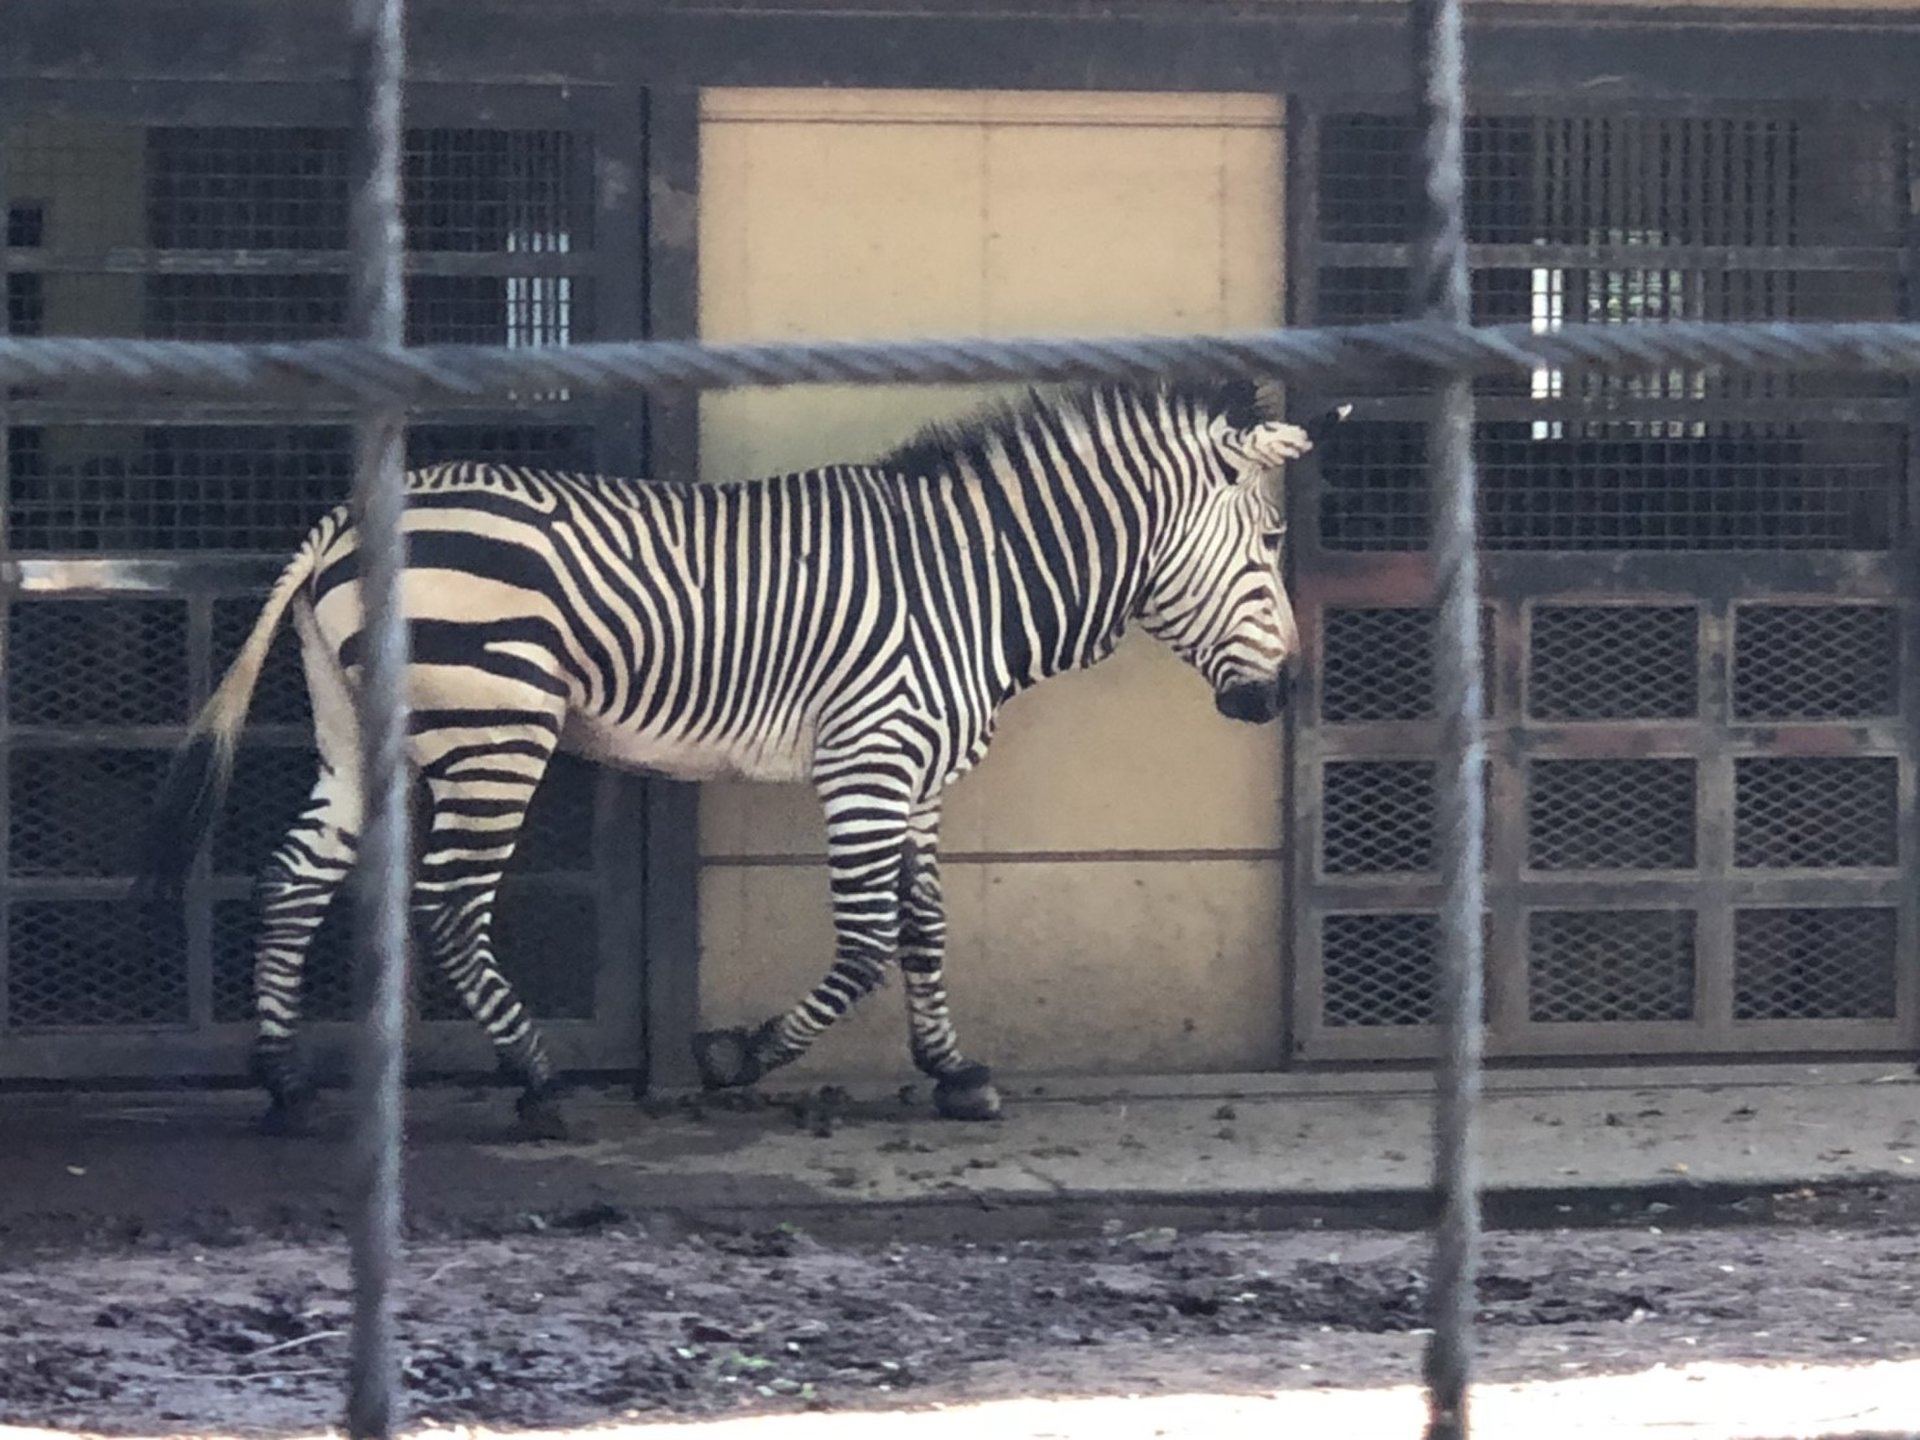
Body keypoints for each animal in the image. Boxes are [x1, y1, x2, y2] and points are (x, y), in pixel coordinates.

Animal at [145, 380, 1336, 1136]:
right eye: (1273, 547)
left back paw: (283, 1081)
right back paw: (539, 1086)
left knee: (296, 876)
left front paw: (953, 1074)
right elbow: (865, 944)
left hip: (357, 727)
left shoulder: (918, 779)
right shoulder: (869, 762)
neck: (975, 578)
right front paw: (740, 1058)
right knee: (447, 905)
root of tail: (349, 521)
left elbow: (925, 928)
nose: (1282, 696)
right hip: (496, 727)